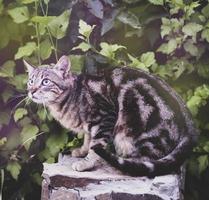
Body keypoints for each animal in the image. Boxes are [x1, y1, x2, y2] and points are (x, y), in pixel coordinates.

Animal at [23, 55, 198, 176]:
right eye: (30, 81)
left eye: (45, 82)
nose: (31, 91)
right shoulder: (89, 126)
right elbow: (87, 139)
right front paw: (82, 151)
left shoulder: (104, 117)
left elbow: (95, 145)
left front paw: (86, 163)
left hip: (136, 129)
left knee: (148, 159)